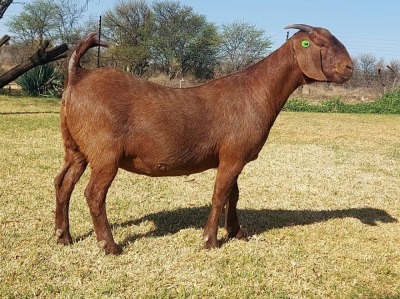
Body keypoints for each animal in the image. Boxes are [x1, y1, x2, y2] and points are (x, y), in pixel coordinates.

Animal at [54, 23, 354, 254]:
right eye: (318, 43)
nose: (350, 67)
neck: (256, 91)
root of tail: (77, 76)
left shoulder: (233, 156)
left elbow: (234, 194)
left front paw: (236, 232)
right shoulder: (233, 156)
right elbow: (220, 194)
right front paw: (210, 241)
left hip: (75, 148)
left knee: (63, 183)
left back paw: (63, 237)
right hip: (105, 152)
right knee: (94, 194)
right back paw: (110, 246)